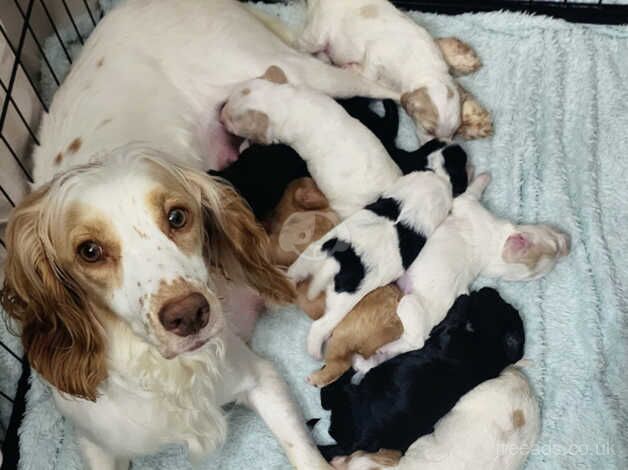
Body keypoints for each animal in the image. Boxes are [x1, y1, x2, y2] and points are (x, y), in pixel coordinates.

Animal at [288, 169, 454, 360]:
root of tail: (335, 263)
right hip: (342, 304)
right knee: (320, 327)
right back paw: (315, 352)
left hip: (310, 256)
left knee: (292, 275)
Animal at [296, 0, 494, 140]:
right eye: (428, 130)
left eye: (453, 134)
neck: (425, 70)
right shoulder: (376, 55)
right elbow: (368, 73)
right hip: (316, 35)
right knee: (302, 46)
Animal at [318, 288, 524, 460]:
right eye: (505, 303)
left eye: (498, 302)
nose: (489, 289)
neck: (490, 348)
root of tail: (357, 445)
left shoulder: (447, 334)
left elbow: (450, 320)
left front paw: (462, 300)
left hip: (348, 396)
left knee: (328, 397)